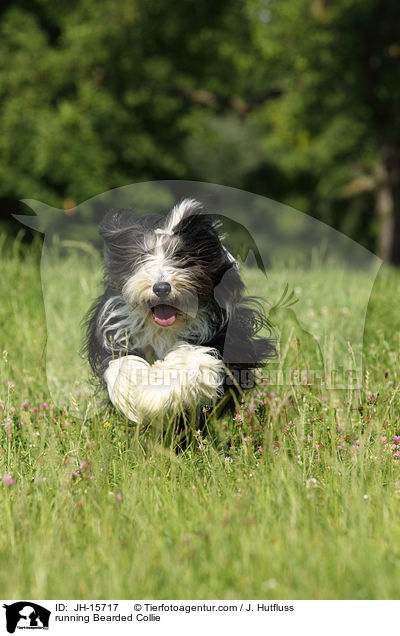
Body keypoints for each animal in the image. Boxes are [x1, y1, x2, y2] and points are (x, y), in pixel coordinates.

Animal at [84, 199, 272, 422]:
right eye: (142, 256)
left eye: (181, 257)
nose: (161, 288)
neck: (164, 328)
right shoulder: (117, 330)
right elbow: (119, 364)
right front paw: (132, 394)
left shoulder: (226, 339)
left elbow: (194, 359)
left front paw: (154, 397)